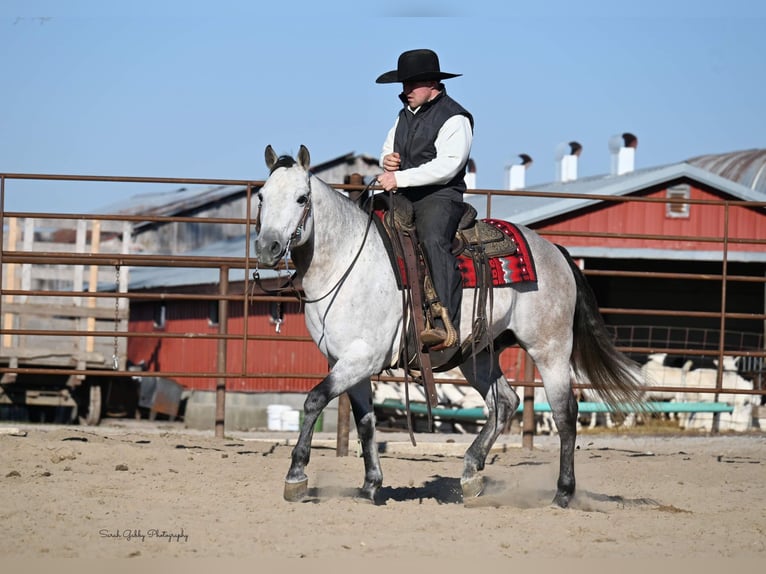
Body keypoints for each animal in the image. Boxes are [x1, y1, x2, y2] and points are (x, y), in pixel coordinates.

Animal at [255, 144, 644, 508]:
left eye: (301, 197)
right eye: (261, 196)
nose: (267, 246)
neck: (347, 263)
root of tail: (555, 251)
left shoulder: (363, 358)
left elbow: (314, 400)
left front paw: (296, 477)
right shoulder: (345, 362)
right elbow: (365, 423)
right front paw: (369, 486)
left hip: (550, 349)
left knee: (565, 413)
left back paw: (563, 493)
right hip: (477, 354)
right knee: (505, 402)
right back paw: (471, 473)